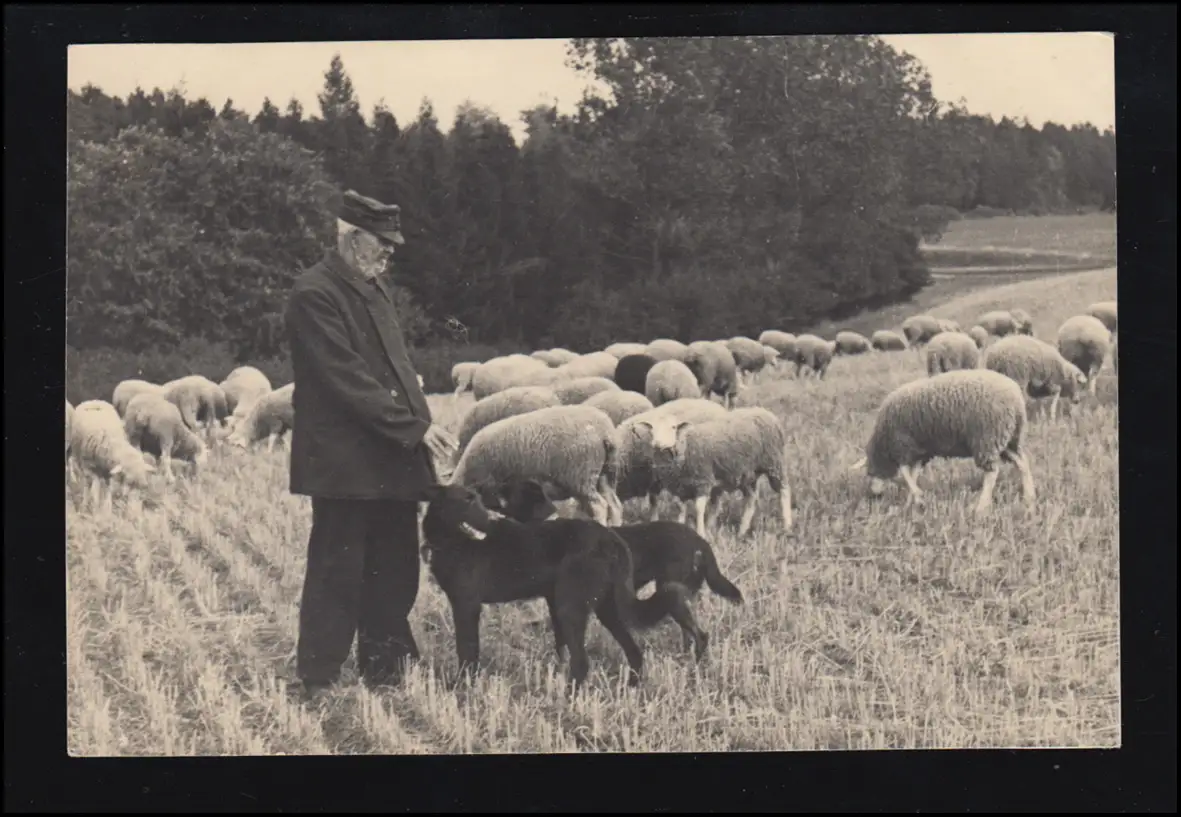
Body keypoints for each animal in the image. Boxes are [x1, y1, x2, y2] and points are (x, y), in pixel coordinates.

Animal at [418, 482, 687, 690]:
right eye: (466, 501)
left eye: (478, 501)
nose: (493, 521)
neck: (451, 540)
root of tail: (612, 539)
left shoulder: (467, 606)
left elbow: (466, 649)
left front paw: (462, 686)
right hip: (607, 608)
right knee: (633, 651)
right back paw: (630, 687)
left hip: (571, 608)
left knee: (582, 662)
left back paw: (568, 698)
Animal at [491, 479, 745, 661]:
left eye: (507, 492)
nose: (486, 487)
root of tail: (700, 543)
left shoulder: (557, 603)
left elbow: (560, 641)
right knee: (689, 632)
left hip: (671, 589)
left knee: (695, 633)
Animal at [637, 407, 793, 538]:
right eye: (652, 429)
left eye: (673, 427)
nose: (657, 443)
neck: (685, 445)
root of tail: (764, 411)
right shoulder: (680, 487)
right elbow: (681, 508)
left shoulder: (703, 480)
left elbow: (699, 508)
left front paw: (701, 533)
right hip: (747, 473)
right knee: (751, 499)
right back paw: (742, 531)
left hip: (774, 462)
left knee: (784, 491)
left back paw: (787, 526)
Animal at [849, 368, 1035, 516]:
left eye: (870, 471)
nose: (874, 496)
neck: (884, 442)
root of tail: (1016, 396)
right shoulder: (920, 452)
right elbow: (913, 474)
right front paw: (912, 502)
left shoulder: (902, 444)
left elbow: (905, 472)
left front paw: (917, 496)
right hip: (1009, 439)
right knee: (1022, 462)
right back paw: (1029, 497)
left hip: (988, 437)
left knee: (992, 472)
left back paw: (981, 507)